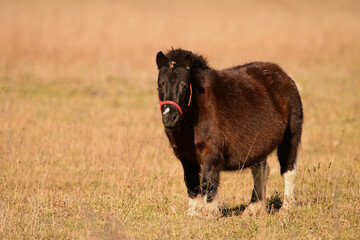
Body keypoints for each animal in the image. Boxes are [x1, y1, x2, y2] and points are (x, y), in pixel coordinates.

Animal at [156, 48, 302, 218]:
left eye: (185, 86)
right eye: (160, 84)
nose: (169, 118)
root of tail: (285, 76)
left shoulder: (210, 153)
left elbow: (208, 181)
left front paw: (209, 213)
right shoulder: (185, 156)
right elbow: (191, 183)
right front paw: (193, 212)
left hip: (290, 137)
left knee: (288, 171)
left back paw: (286, 208)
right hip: (258, 147)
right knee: (261, 171)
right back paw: (254, 208)